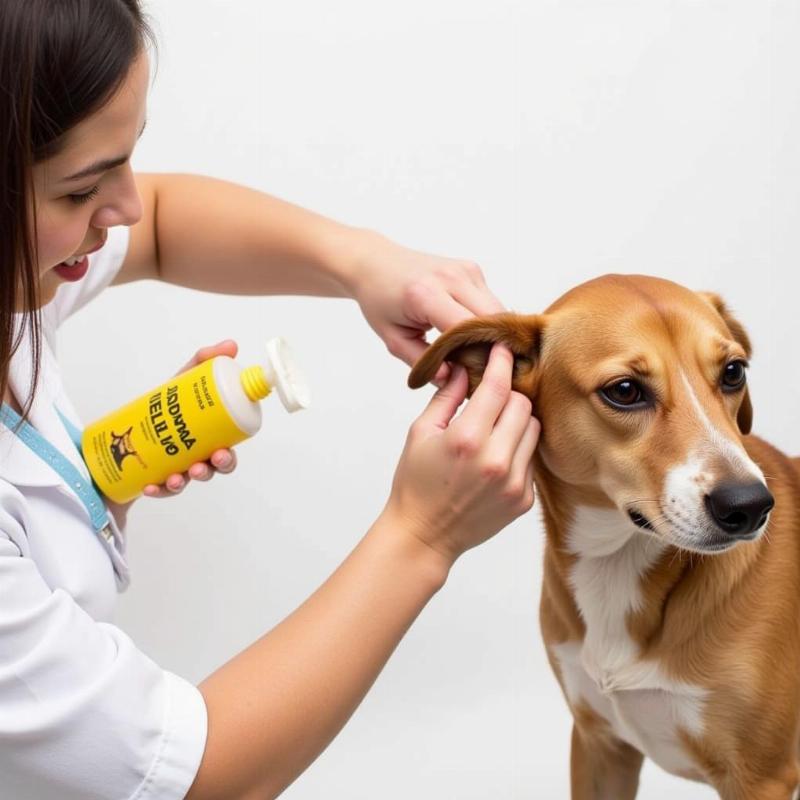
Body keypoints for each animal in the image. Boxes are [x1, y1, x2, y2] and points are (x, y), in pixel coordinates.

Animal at [410, 276, 800, 800]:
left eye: (733, 372)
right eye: (625, 390)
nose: (750, 505)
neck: (619, 560)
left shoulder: (761, 777)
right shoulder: (598, 745)